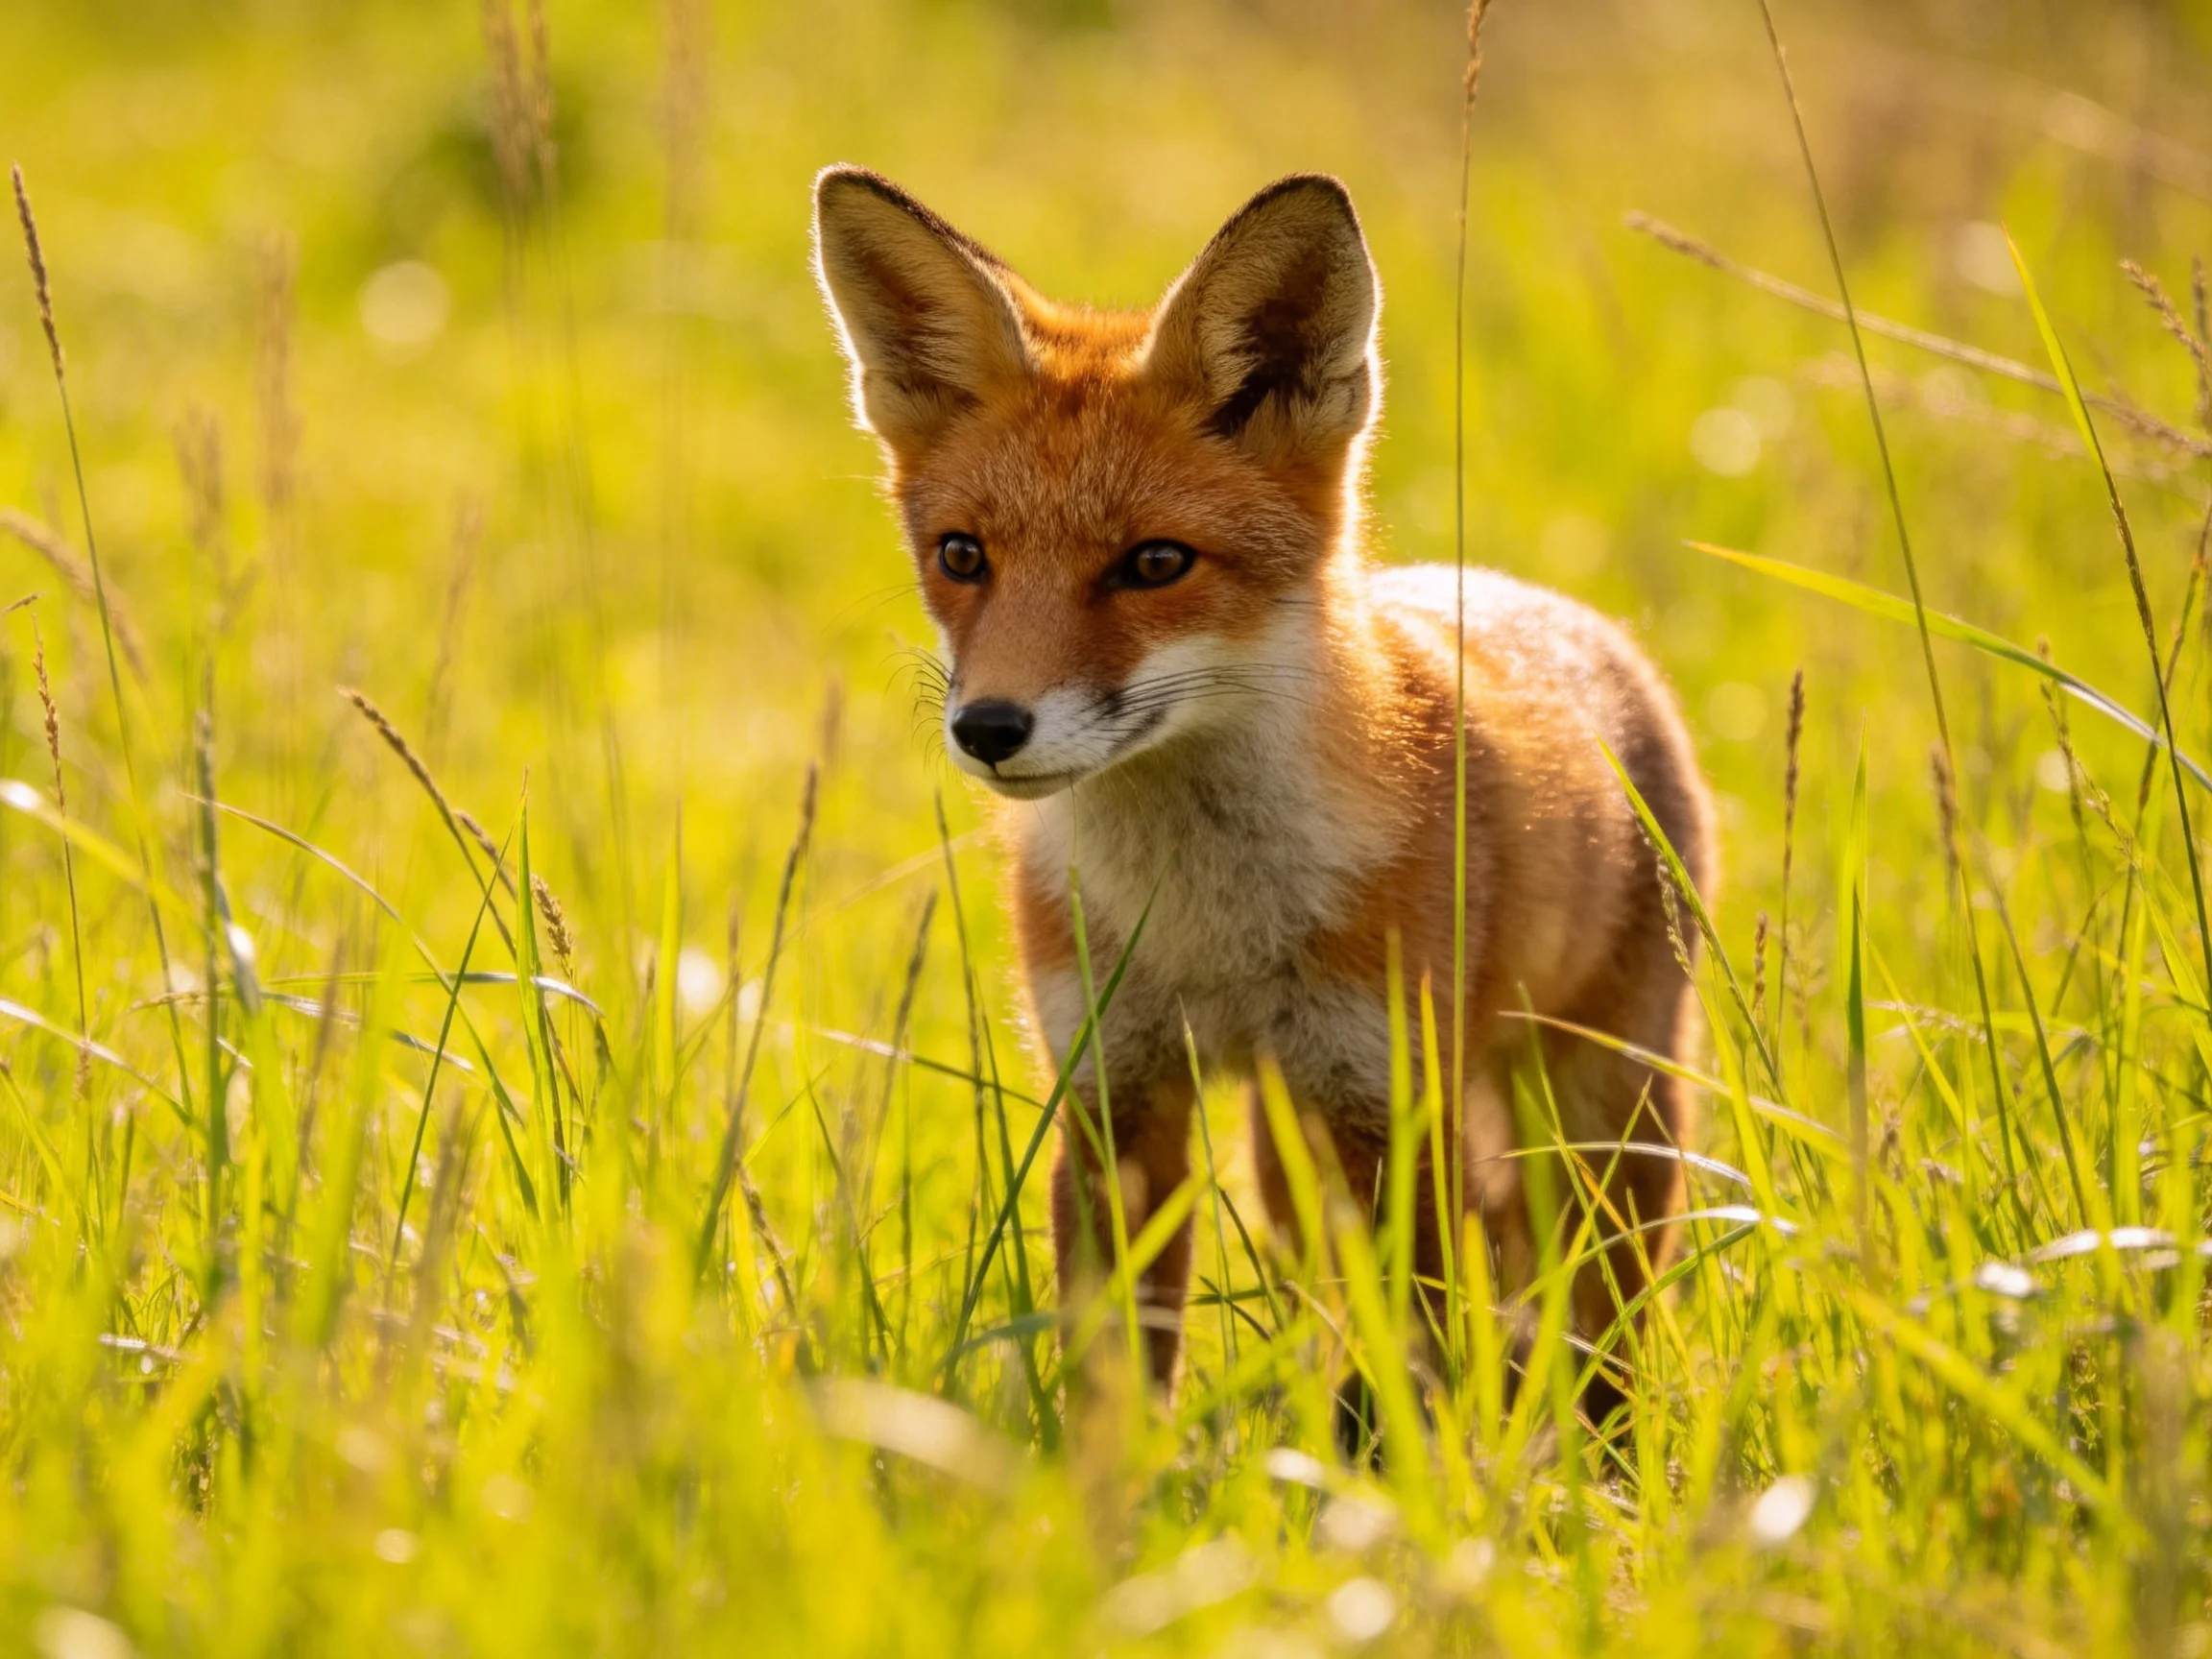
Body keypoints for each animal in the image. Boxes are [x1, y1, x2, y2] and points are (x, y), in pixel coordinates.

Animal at [812, 164, 1714, 1436]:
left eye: (1154, 563)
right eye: (962, 555)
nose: (989, 728)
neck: (1212, 934)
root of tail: (1558, 609)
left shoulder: (1391, 1106)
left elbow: (1403, 1380)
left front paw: (1396, 1484)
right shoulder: (1115, 1097)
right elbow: (1118, 1373)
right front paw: (1113, 1485)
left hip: (1600, 1121)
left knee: (1597, 1328)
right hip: (1296, 1155)